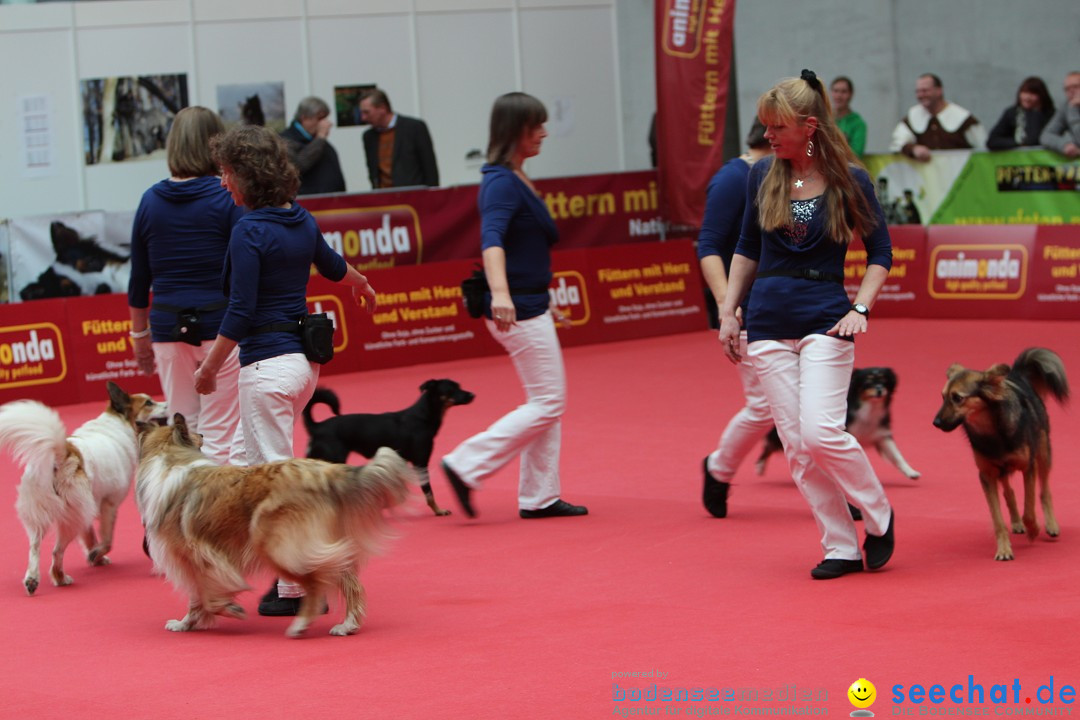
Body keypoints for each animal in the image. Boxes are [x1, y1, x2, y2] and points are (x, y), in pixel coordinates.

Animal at [0, 382, 165, 595]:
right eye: (149, 403)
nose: (167, 404)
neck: (119, 423)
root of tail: (63, 453)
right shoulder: (108, 504)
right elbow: (107, 540)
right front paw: (96, 554)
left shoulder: (87, 506)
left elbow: (90, 536)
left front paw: (96, 557)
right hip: (70, 517)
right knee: (57, 551)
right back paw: (60, 578)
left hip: (47, 511)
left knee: (34, 547)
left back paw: (32, 579)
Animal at [137, 414, 414, 639]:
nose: (202, 434)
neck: (168, 457)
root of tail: (325, 473)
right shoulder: (197, 560)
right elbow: (198, 595)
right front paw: (189, 623)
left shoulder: (196, 556)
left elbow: (204, 594)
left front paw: (224, 609)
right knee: (347, 581)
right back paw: (348, 625)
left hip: (276, 545)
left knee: (317, 582)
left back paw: (301, 624)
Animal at [302, 379, 475, 515]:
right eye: (451, 389)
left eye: (459, 386)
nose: (471, 395)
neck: (423, 417)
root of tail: (317, 427)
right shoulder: (421, 463)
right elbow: (428, 492)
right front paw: (438, 510)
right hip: (333, 460)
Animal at [751, 369, 920, 481]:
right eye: (868, 381)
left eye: (884, 381)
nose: (879, 390)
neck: (868, 407)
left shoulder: (881, 435)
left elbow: (897, 456)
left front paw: (910, 472)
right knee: (769, 444)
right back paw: (760, 466)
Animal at [933, 345, 1067, 561]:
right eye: (943, 397)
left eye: (958, 398)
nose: (935, 423)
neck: (993, 432)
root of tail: (1017, 374)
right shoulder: (987, 475)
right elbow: (997, 519)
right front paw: (1004, 549)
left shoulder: (1028, 467)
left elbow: (1029, 509)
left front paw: (1034, 529)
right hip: (1001, 469)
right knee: (1008, 491)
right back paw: (1016, 522)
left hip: (1043, 453)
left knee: (1045, 490)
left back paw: (1050, 524)